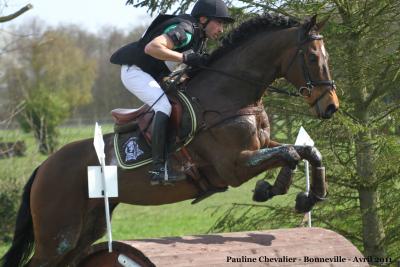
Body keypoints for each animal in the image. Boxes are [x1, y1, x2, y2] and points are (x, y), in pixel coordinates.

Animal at [1, 14, 338, 267]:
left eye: (326, 56)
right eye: (312, 57)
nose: (331, 106)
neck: (229, 96)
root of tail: (44, 167)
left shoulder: (260, 147)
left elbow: (305, 150)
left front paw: (308, 196)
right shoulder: (234, 166)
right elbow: (291, 153)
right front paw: (270, 189)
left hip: (89, 226)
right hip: (59, 233)